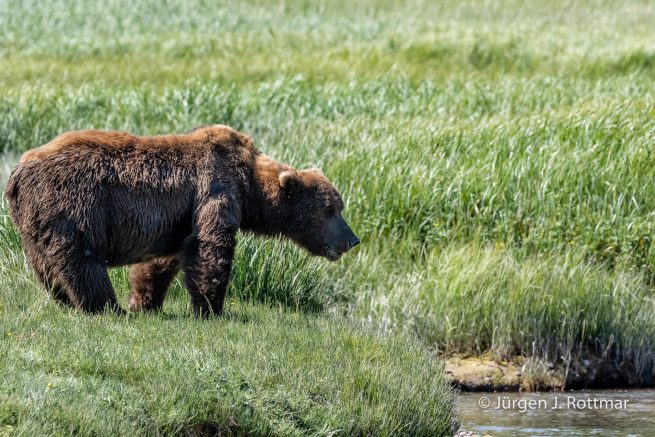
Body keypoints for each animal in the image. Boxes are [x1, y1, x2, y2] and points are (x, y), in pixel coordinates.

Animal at [5, 125, 359, 316]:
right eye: (330, 210)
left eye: (339, 206)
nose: (352, 239)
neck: (249, 186)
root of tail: (18, 170)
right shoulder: (215, 187)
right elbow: (211, 246)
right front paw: (212, 308)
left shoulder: (179, 219)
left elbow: (164, 259)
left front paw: (145, 300)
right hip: (77, 203)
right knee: (83, 258)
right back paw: (104, 305)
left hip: (35, 219)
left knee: (46, 264)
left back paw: (69, 300)